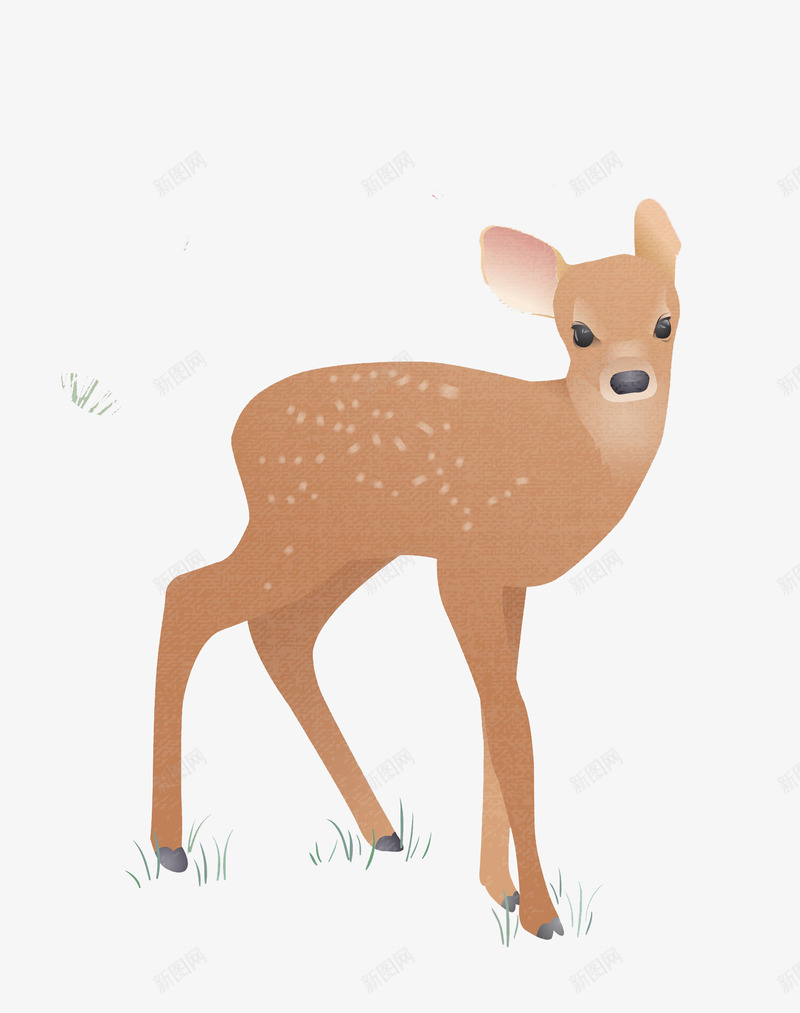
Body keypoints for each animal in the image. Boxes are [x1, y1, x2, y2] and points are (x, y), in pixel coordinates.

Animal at [150, 199, 680, 939]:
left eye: (665, 321)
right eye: (579, 331)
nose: (629, 380)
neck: (571, 450)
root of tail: (236, 431)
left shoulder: (508, 579)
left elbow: (494, 719)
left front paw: (502, 892)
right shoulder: (464, 566)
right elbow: (512, 724)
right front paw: (543, 914)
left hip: (346, 547)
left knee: (280, 633)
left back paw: (382, 831)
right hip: (289, 533)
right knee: (187, 594)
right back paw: (169, 847)